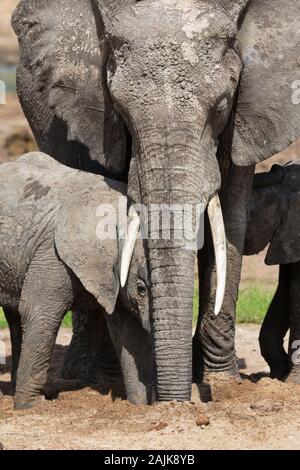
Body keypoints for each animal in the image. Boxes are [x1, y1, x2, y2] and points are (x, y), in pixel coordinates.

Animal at [0, 151, 151, 408]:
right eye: (141, 289)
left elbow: (127, 330)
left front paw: (140, 406)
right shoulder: (52, 254)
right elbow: (39, 313)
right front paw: (33, 407)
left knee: (13, 317)